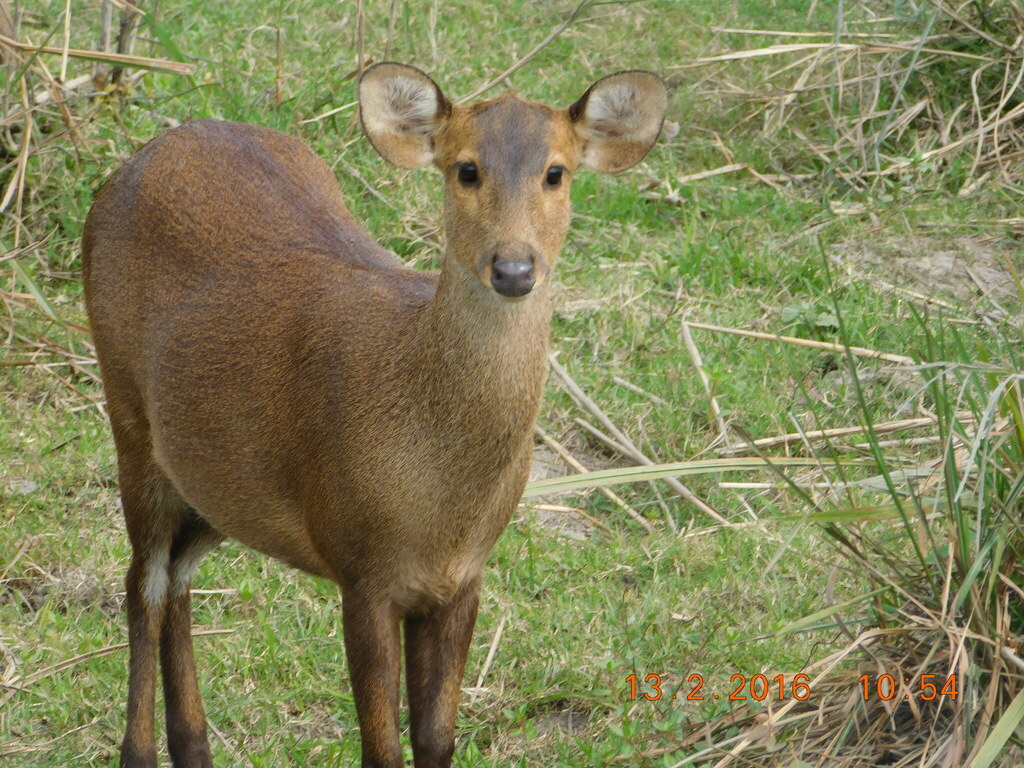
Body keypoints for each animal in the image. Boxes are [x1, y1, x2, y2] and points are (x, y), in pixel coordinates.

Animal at [82, 62, 667, 768]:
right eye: (466, 169)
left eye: (557, 172)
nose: (513, 268)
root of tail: (137, 160)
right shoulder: (361, 569)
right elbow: (382, 750)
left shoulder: (462, 582)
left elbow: (437, 741)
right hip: (126, 411)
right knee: (143, 584)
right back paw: (138, 750)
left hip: (212, 478)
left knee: (177, 578)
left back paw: (194, 746)